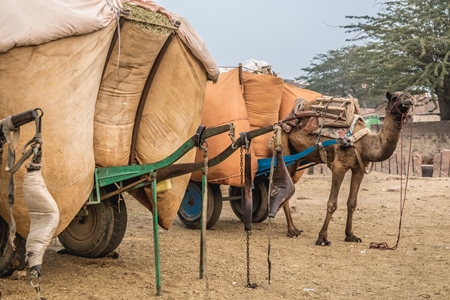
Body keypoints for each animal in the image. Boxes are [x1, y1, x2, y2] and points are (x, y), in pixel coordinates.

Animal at [272, 91, 414, 246]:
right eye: (394, 98)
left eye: (408, 95)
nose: (408, 98)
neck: (364, 143)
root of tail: (282, 122)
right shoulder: (339, 166)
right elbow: (332, 203)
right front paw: (322, 238)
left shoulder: (359, 169)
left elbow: (352, 203)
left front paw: (350, 235)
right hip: (285, 148)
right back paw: (291, 230)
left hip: (296, 157)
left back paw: (295, 229)